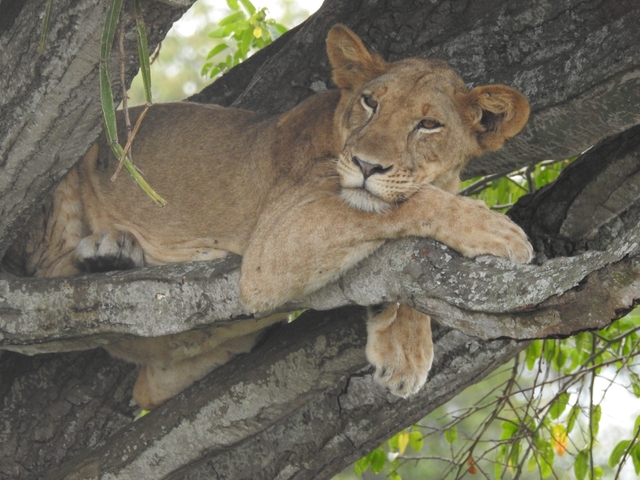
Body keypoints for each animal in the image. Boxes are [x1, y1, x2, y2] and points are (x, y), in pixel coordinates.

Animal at [3, 25, 532, 409]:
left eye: (428, 124)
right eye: (370, 102)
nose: (366, 166)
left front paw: (403, 348)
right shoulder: (273, 245)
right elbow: (409, 205)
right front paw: (496, 231)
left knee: (147, 385)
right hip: (75, 165)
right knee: (53, 281)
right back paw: (111, 255)